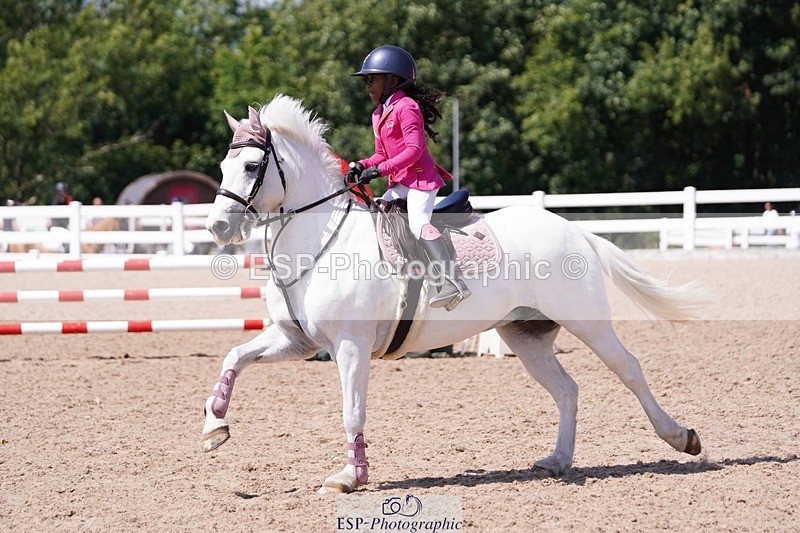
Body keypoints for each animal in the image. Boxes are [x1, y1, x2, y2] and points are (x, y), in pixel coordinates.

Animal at [202, 95, 708, 494]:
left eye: (252, 166)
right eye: (224, 167)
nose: (218, 228)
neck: (320, 238)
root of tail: (573, 229)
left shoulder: (350, 346)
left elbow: (352, 412)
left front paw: (350, 477)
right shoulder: (297, 340)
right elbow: (233, 357)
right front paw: (214, 425)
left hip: (586, 321)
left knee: (629, 370)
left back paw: (680, 437)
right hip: (524, 334)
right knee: (566, 389)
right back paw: (558, 460)